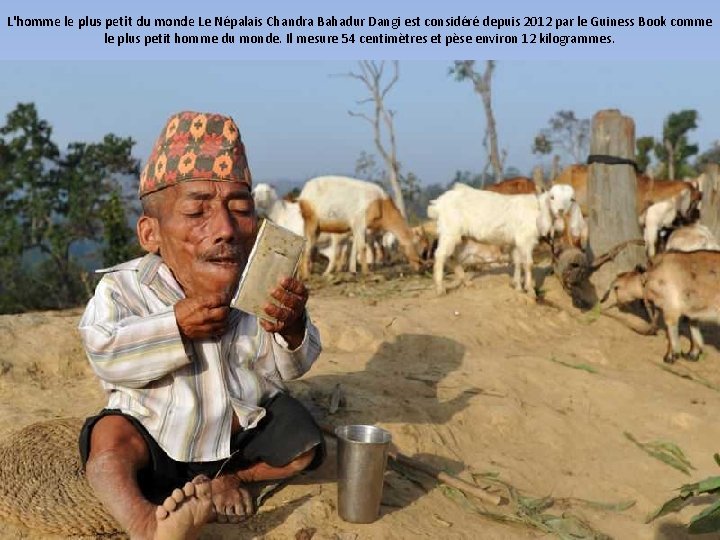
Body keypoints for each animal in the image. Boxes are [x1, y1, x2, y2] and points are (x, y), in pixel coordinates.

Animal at [428, 182, 580, 294]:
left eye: (571, 199)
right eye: (552, 197)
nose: (561, 210)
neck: (538, 210)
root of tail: (438, 203)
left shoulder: (516, 242)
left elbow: (517, 262)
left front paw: (517, 286)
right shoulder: (525, 239)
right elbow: (528, 264)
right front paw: (529, 289)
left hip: (461, 236)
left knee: (451, 257)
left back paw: (466, 281)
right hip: (449, 230)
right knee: (440, 255)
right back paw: (440, 288)